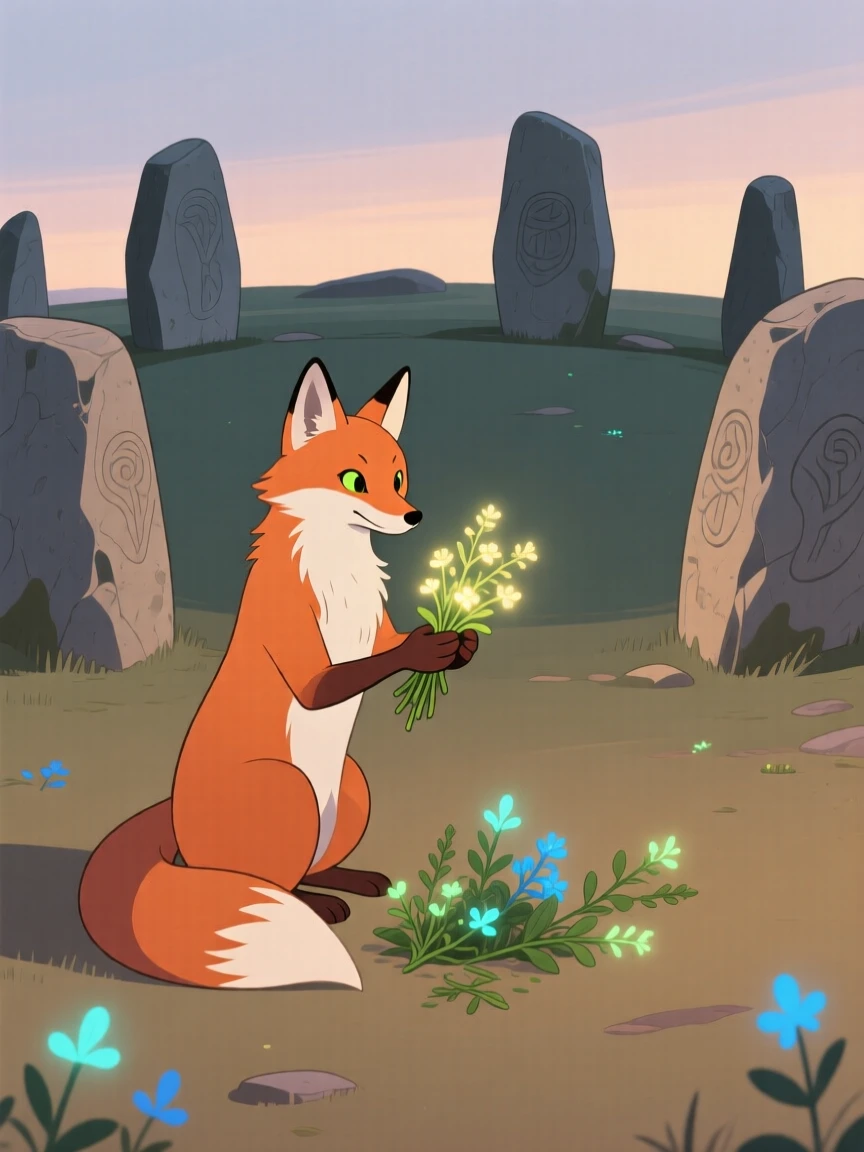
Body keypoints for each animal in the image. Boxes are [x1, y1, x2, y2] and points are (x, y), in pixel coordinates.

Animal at [78, 358, 479, 991]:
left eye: (399, 479)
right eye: (354, 481)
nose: (414, 516)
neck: (340, 574)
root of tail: (182, 838)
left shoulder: (375, 629)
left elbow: (387, 647)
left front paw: (462, 643)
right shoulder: (306, 663)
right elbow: (359, 669)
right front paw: (428, 649)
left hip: (350, 786)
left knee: (306, 871)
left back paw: (350, 882)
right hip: (289, 790)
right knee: (275, 887)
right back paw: (318, 908)